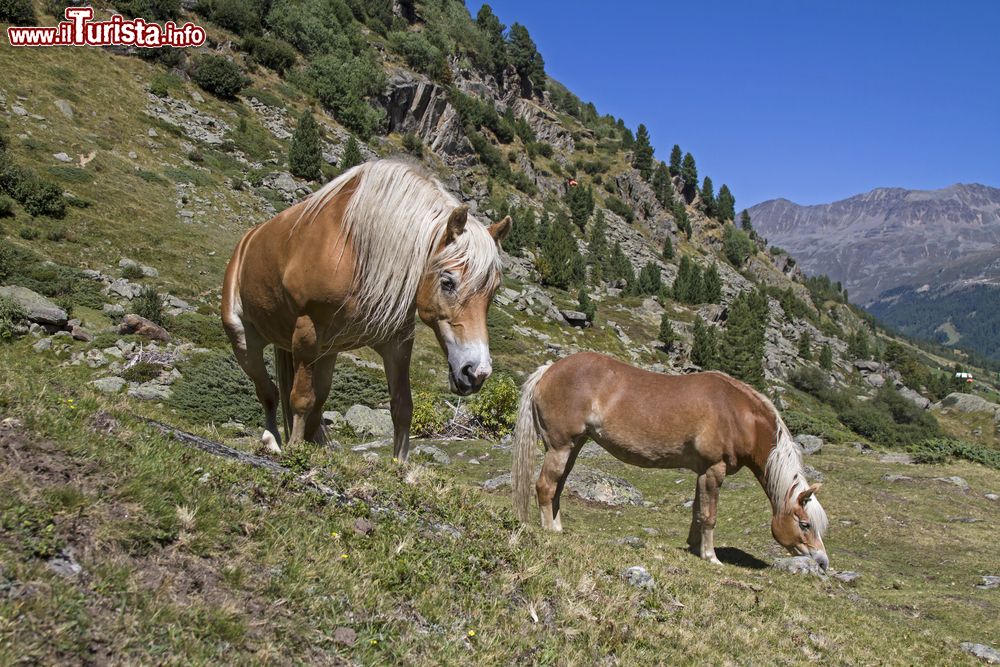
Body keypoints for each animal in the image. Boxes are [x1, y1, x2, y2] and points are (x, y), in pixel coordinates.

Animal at [224, 162, 512, 464]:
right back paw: (272, 442)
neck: (355, 250)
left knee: (316, 400)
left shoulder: (396, 343)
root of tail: (247, 242)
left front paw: (400, 466)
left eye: (493, 291)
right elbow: (300, 398)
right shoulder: (306, 331)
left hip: (326, 352)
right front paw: (294, 452)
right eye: (448, 282)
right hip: (244, 340)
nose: (477, 372)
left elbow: (402, 407)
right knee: (268, 391)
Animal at [512, 352, 832, 572]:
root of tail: (549, 370)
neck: (737, 414)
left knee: (557, 487)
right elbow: (710, 515)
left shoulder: (703, 471)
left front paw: (694, 547)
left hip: (572, 447)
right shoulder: (714, 470)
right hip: (560, 447)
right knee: (544, 486)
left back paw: (558, 527)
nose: (822, 561)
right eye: (805, 524)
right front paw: (711, 557)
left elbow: (697, 511)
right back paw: (550, 531)